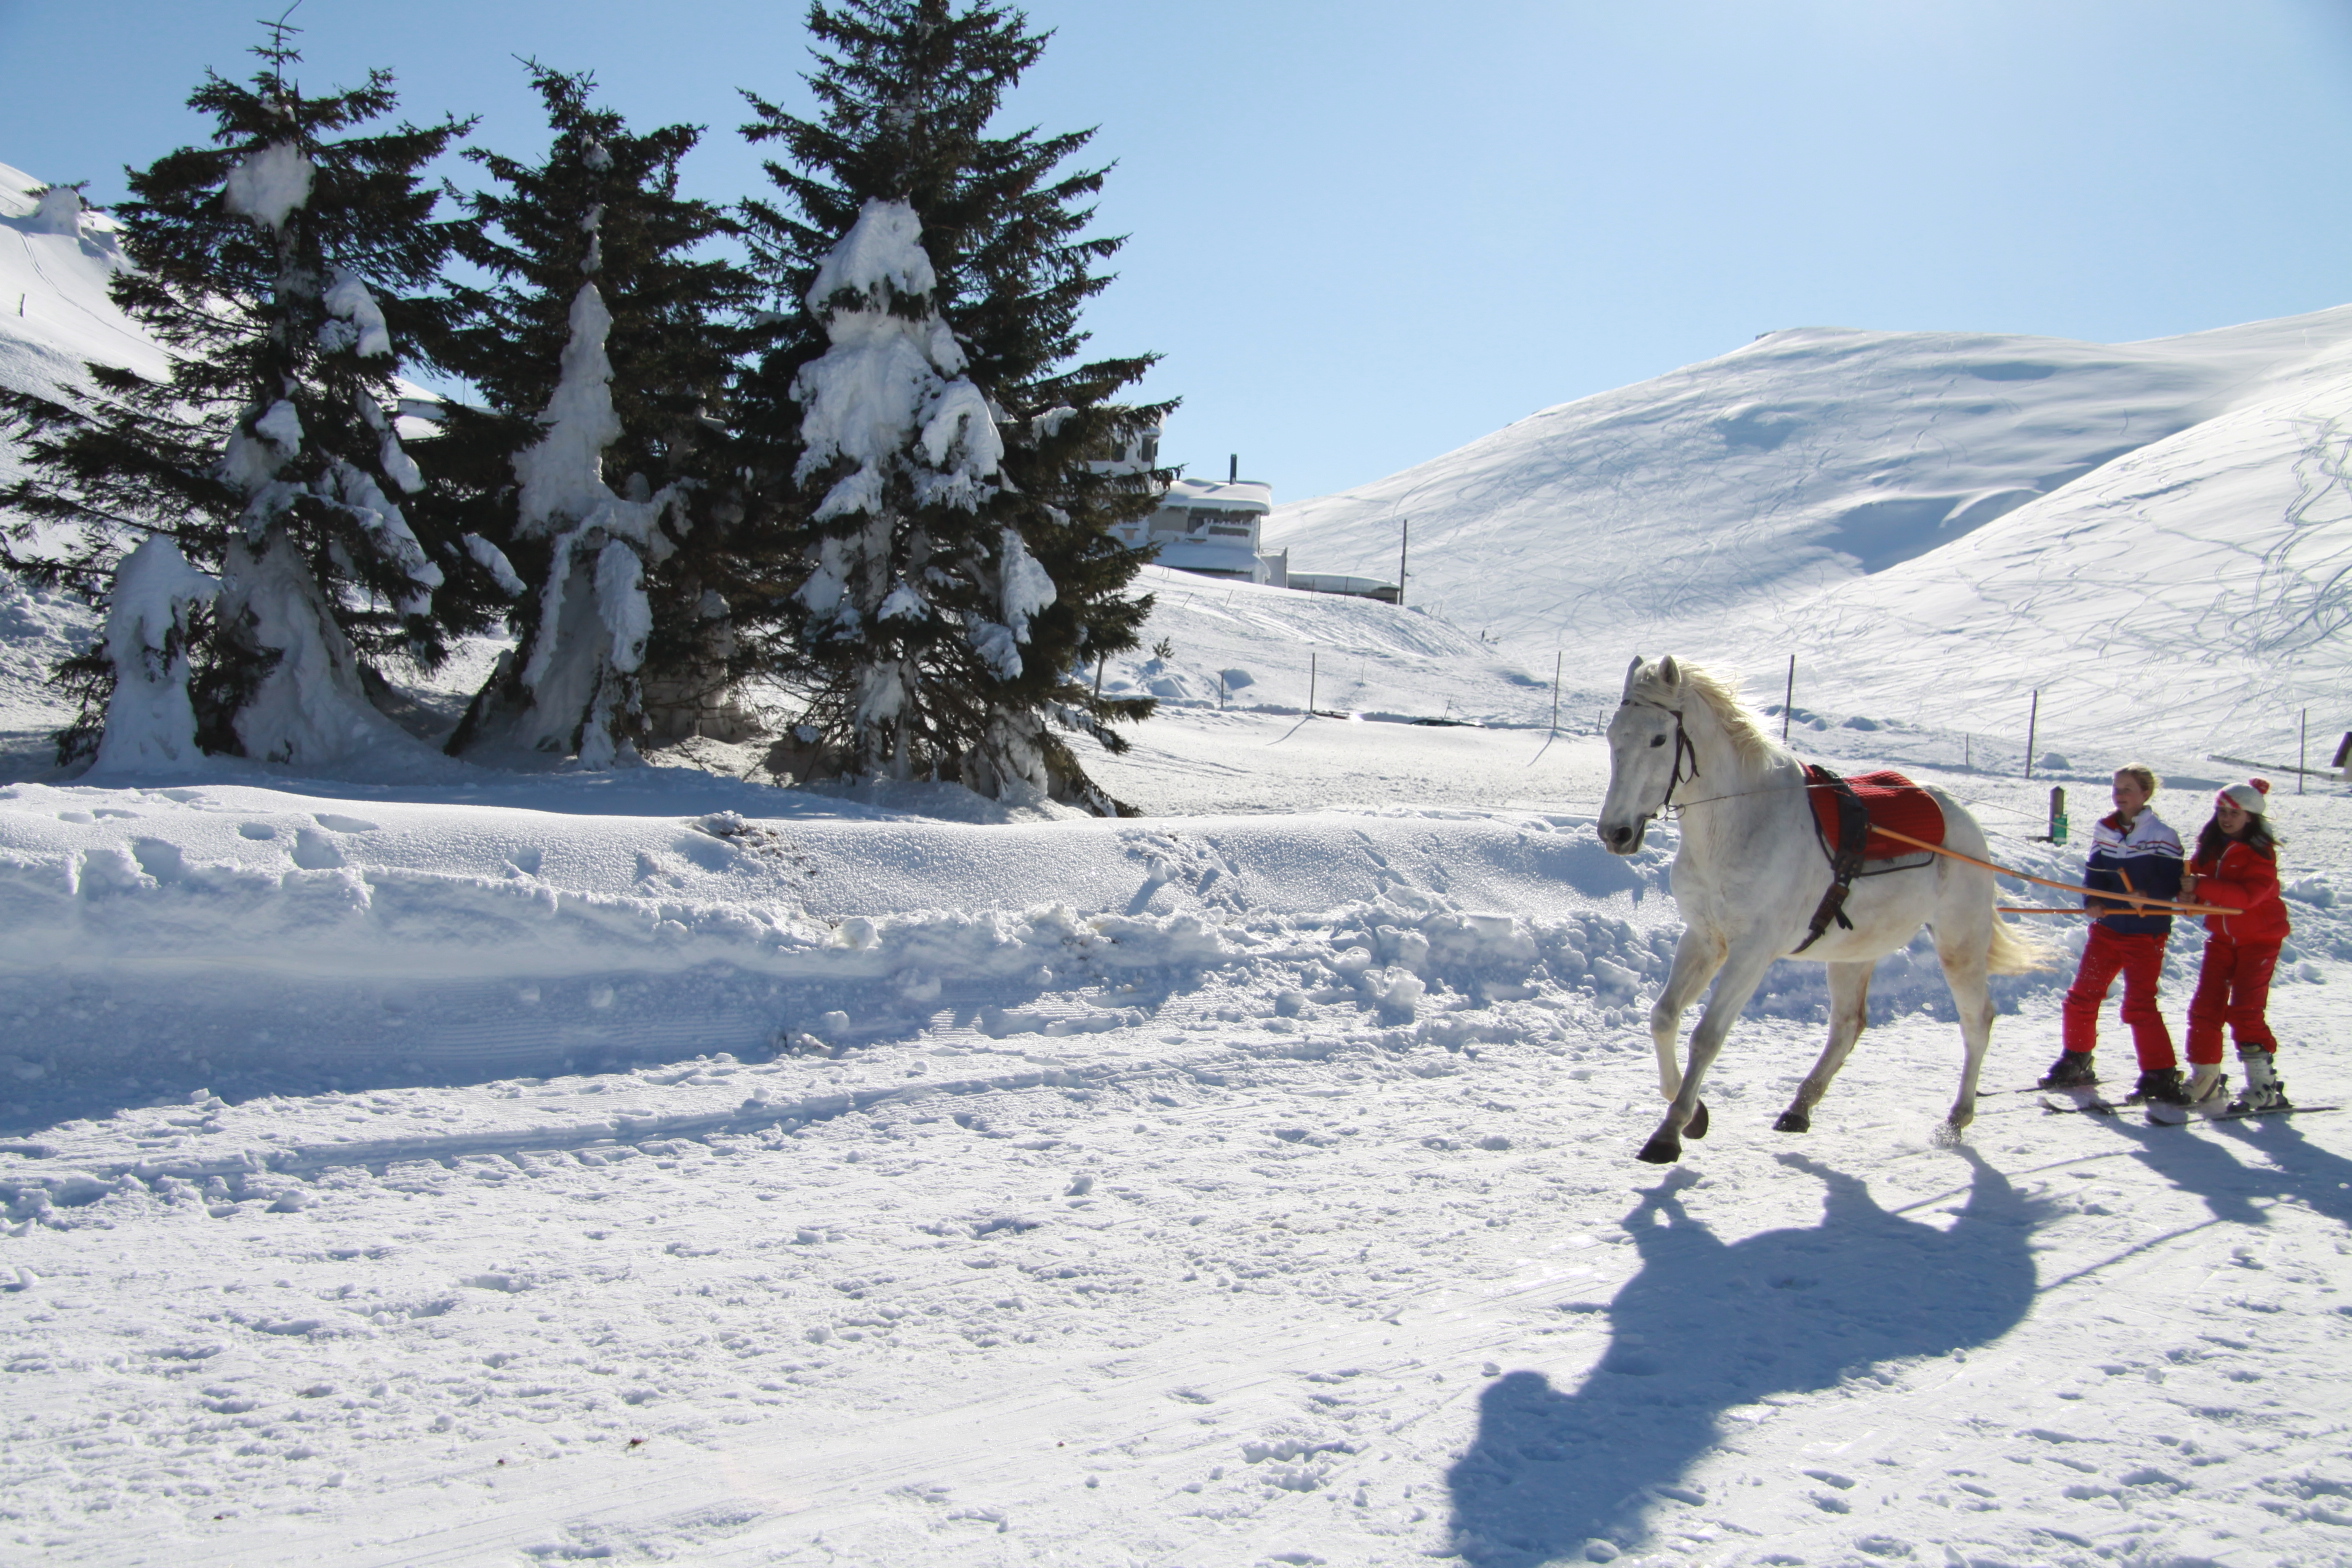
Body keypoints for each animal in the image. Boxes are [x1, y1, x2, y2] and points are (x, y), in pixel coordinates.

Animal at [1599, 653, 2041, 1166]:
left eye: (1658, 738)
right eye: (1612, 735)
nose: (1614, 833)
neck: (1740, 824)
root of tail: (1963, 817)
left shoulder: (1752, 953)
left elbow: (1707, 1035)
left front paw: (1669, 1132)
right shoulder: (1705, 939)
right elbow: (1664, 1017)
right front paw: (1693, 1113)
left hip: (1959, 942)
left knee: (1976, 1021)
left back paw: (1956, 1119)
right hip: (1854, 952)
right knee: (1848, 1024)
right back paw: (1799, 1107)